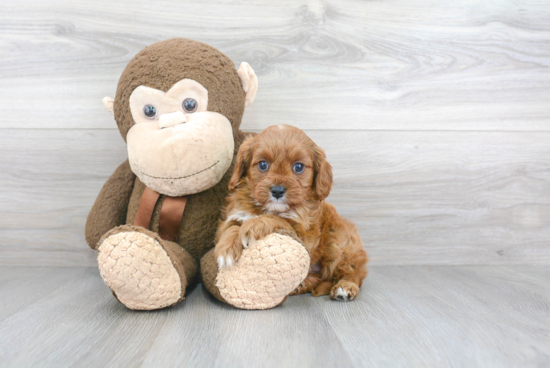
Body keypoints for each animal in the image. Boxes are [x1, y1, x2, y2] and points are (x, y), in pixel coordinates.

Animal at [217, 125, 370, 300]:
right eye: (263, 164)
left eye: (298, 167)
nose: (277, 191)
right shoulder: (233, 215)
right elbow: (231, 228)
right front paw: (227, 250)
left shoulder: (304, 235)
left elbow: (277, 219)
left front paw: (253, 224)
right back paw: (301, 285)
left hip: (341, 243)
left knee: (352, 271)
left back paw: (345, 287)